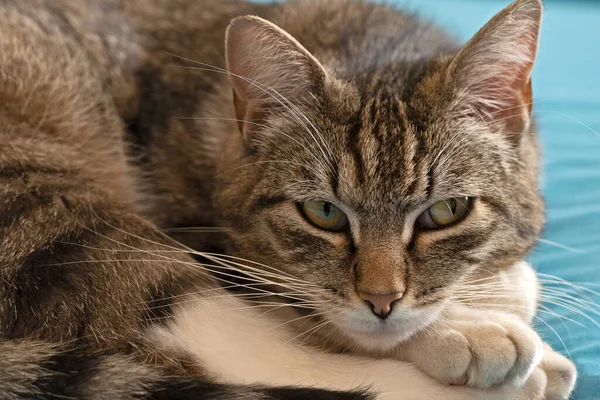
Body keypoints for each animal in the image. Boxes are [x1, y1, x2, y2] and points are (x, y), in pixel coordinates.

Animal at [1, 0, 580, 398]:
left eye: (444, 212)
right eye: (323, 213)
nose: (381, 302)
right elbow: (304, 309)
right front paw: (468, 326)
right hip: (45, 195)